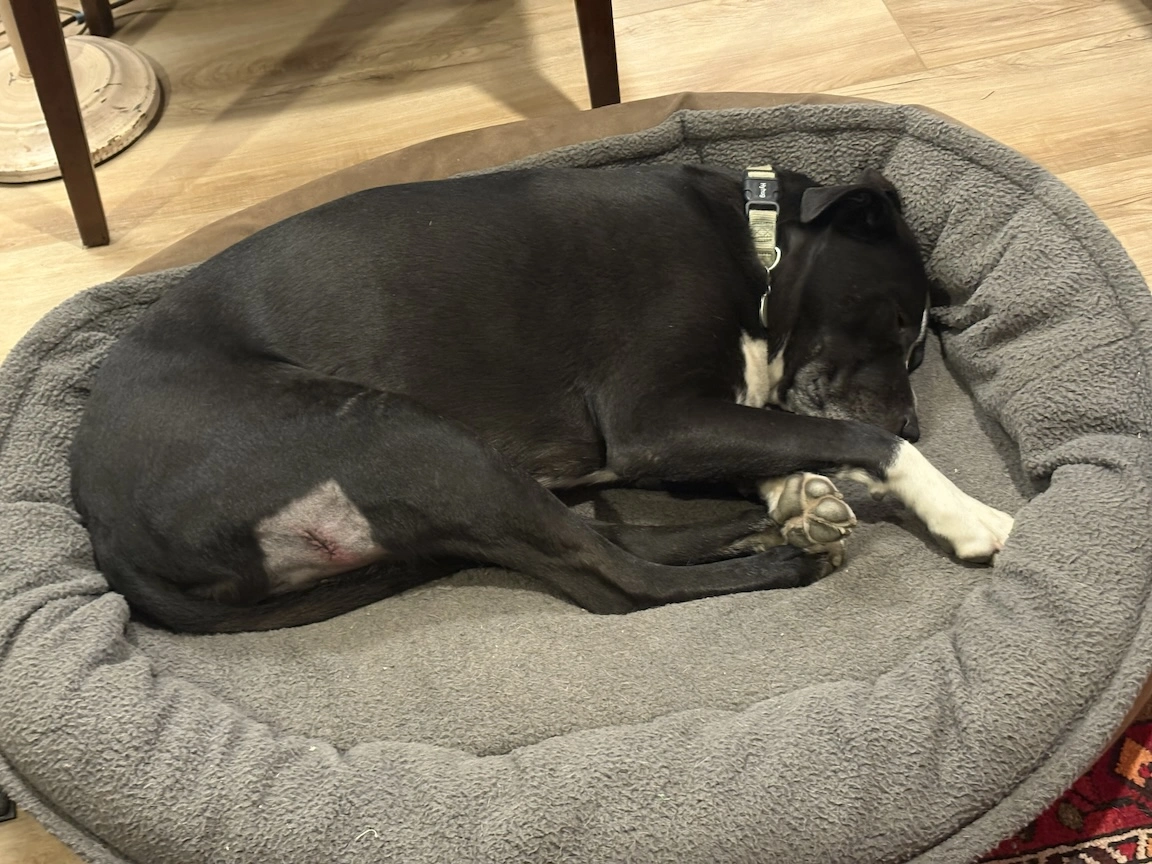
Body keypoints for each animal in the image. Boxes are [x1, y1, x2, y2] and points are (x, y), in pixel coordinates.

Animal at [69, 163, 1013, 634]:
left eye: (921, 340)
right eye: (892, 319)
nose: (916, 412)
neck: (755, 249)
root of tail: (104, 532)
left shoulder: (694, 428)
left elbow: (781, 443)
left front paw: (799, 494)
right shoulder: (655, 422)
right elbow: (868, 446)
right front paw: (971, 515)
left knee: (614, 537)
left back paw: (777, 529)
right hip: (399, 433)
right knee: (617, 580)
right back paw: (788, 560)